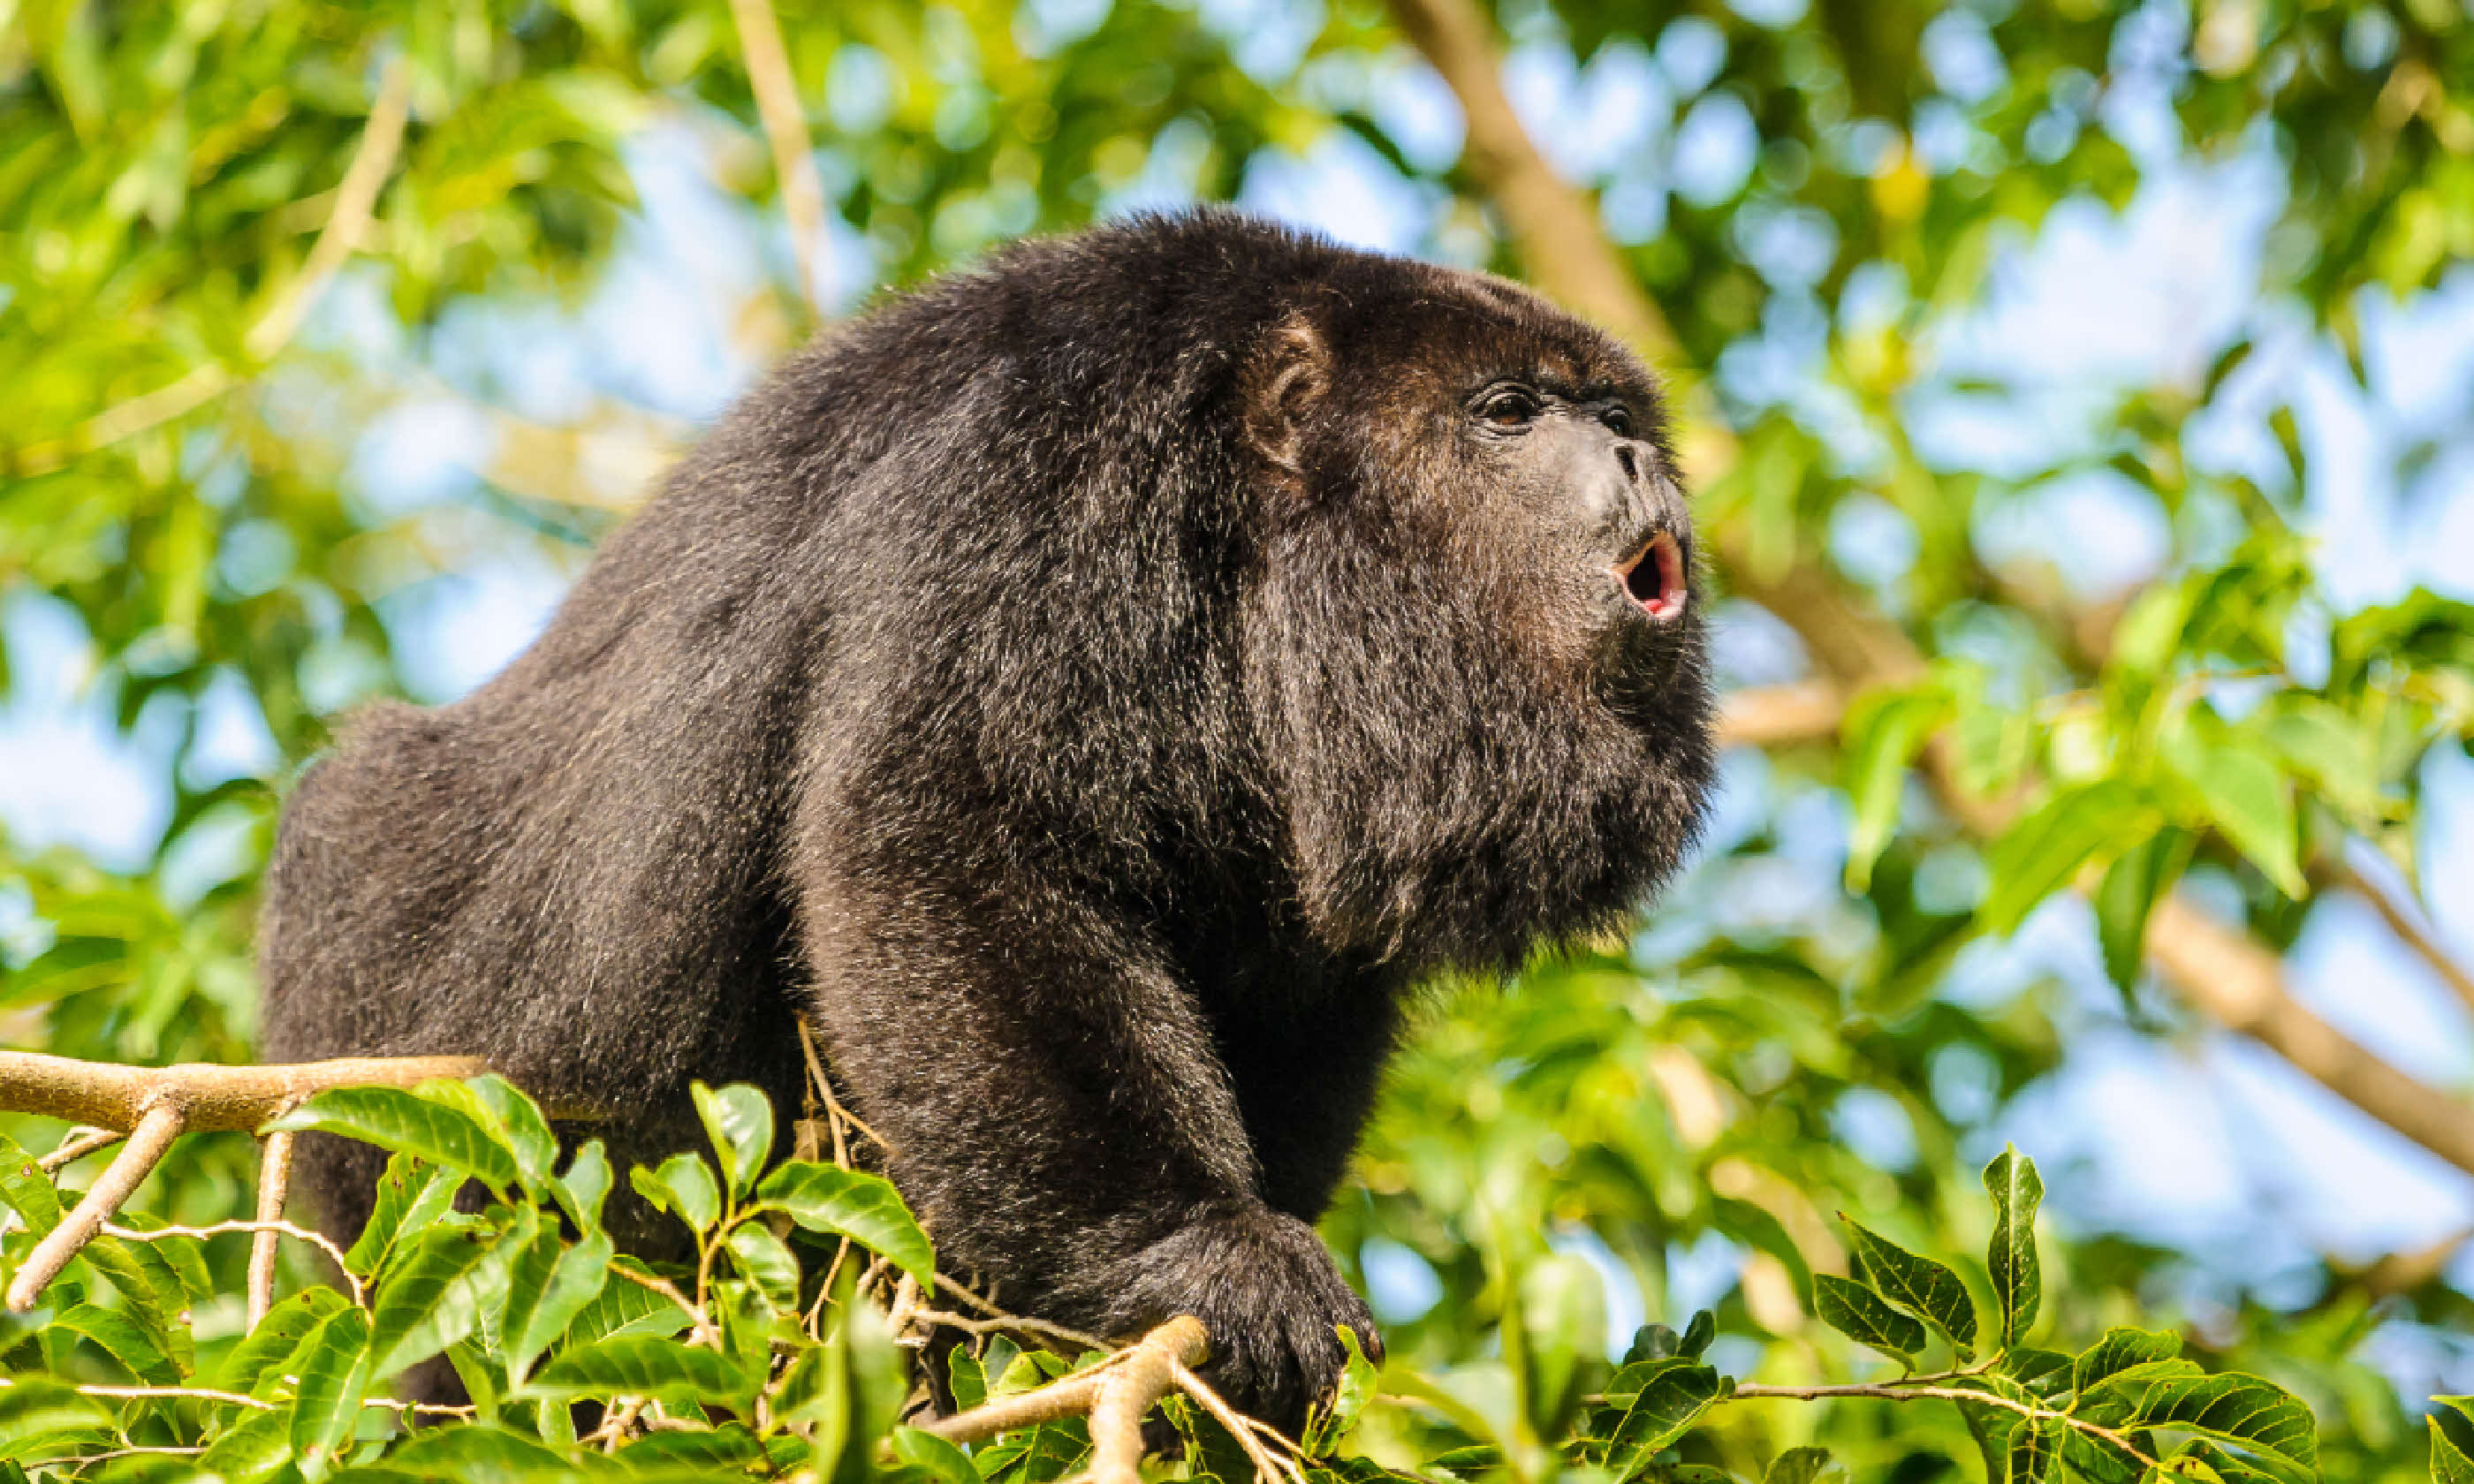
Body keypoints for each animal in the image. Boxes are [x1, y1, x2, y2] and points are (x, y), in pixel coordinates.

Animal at [261, 208, 1711, 1424]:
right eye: (1508, 412)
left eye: (1609, 410)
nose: (1635, 452)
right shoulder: (1044, 483)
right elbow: (948, 838)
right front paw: (1200, 1255)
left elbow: (1297, 995)